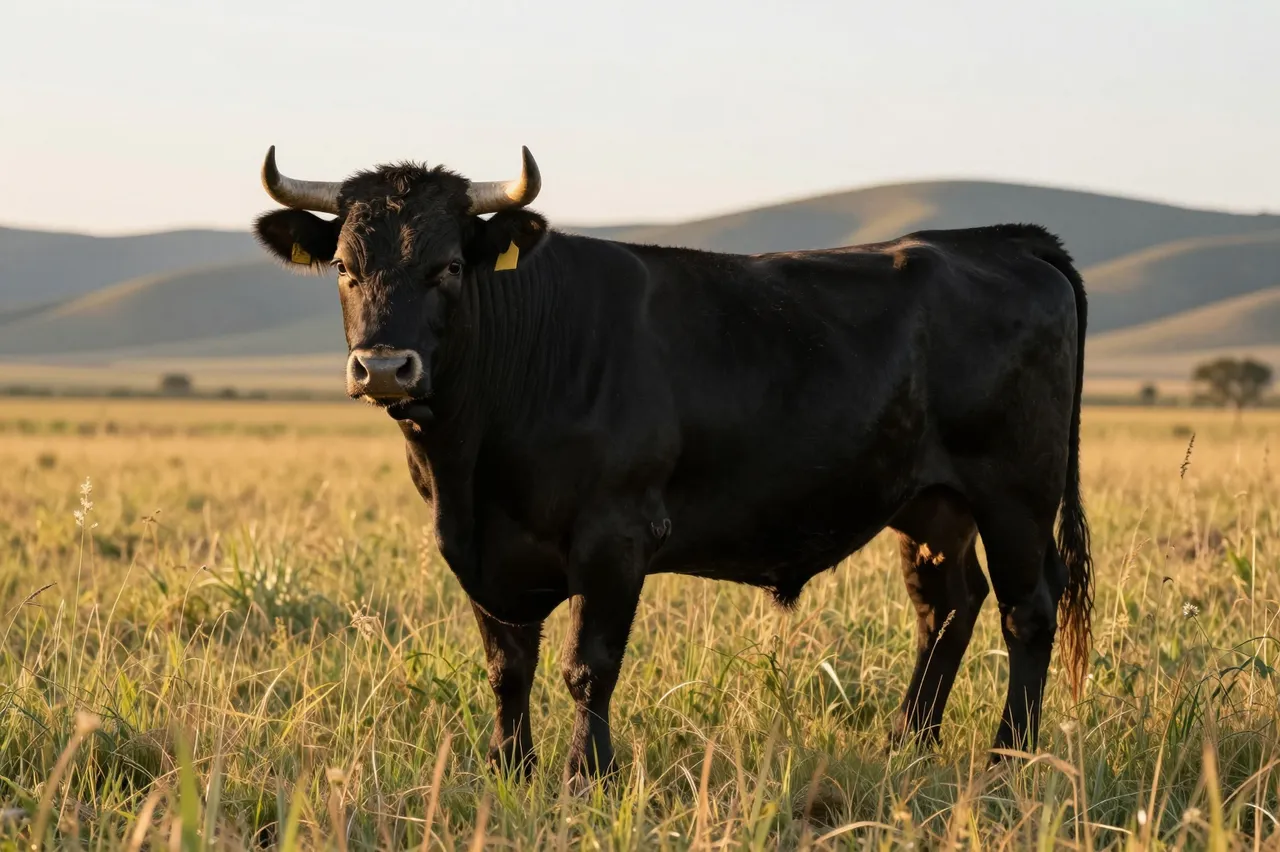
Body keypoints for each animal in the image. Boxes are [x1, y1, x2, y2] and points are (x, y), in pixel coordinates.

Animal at [251, 145, 1093, 782]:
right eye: (344, 268)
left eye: (450, 266)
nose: (385, 368)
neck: (471, 463)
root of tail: (998, 240)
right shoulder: (476, 548)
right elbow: (506, 665)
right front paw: (509, 770)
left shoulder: (616, 534)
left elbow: (588, 665)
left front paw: (585, 776)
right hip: (929, 504)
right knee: (947, 606)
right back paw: (906, 743)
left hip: (1015, 492)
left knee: (1027, 609)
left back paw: (1009, 758)